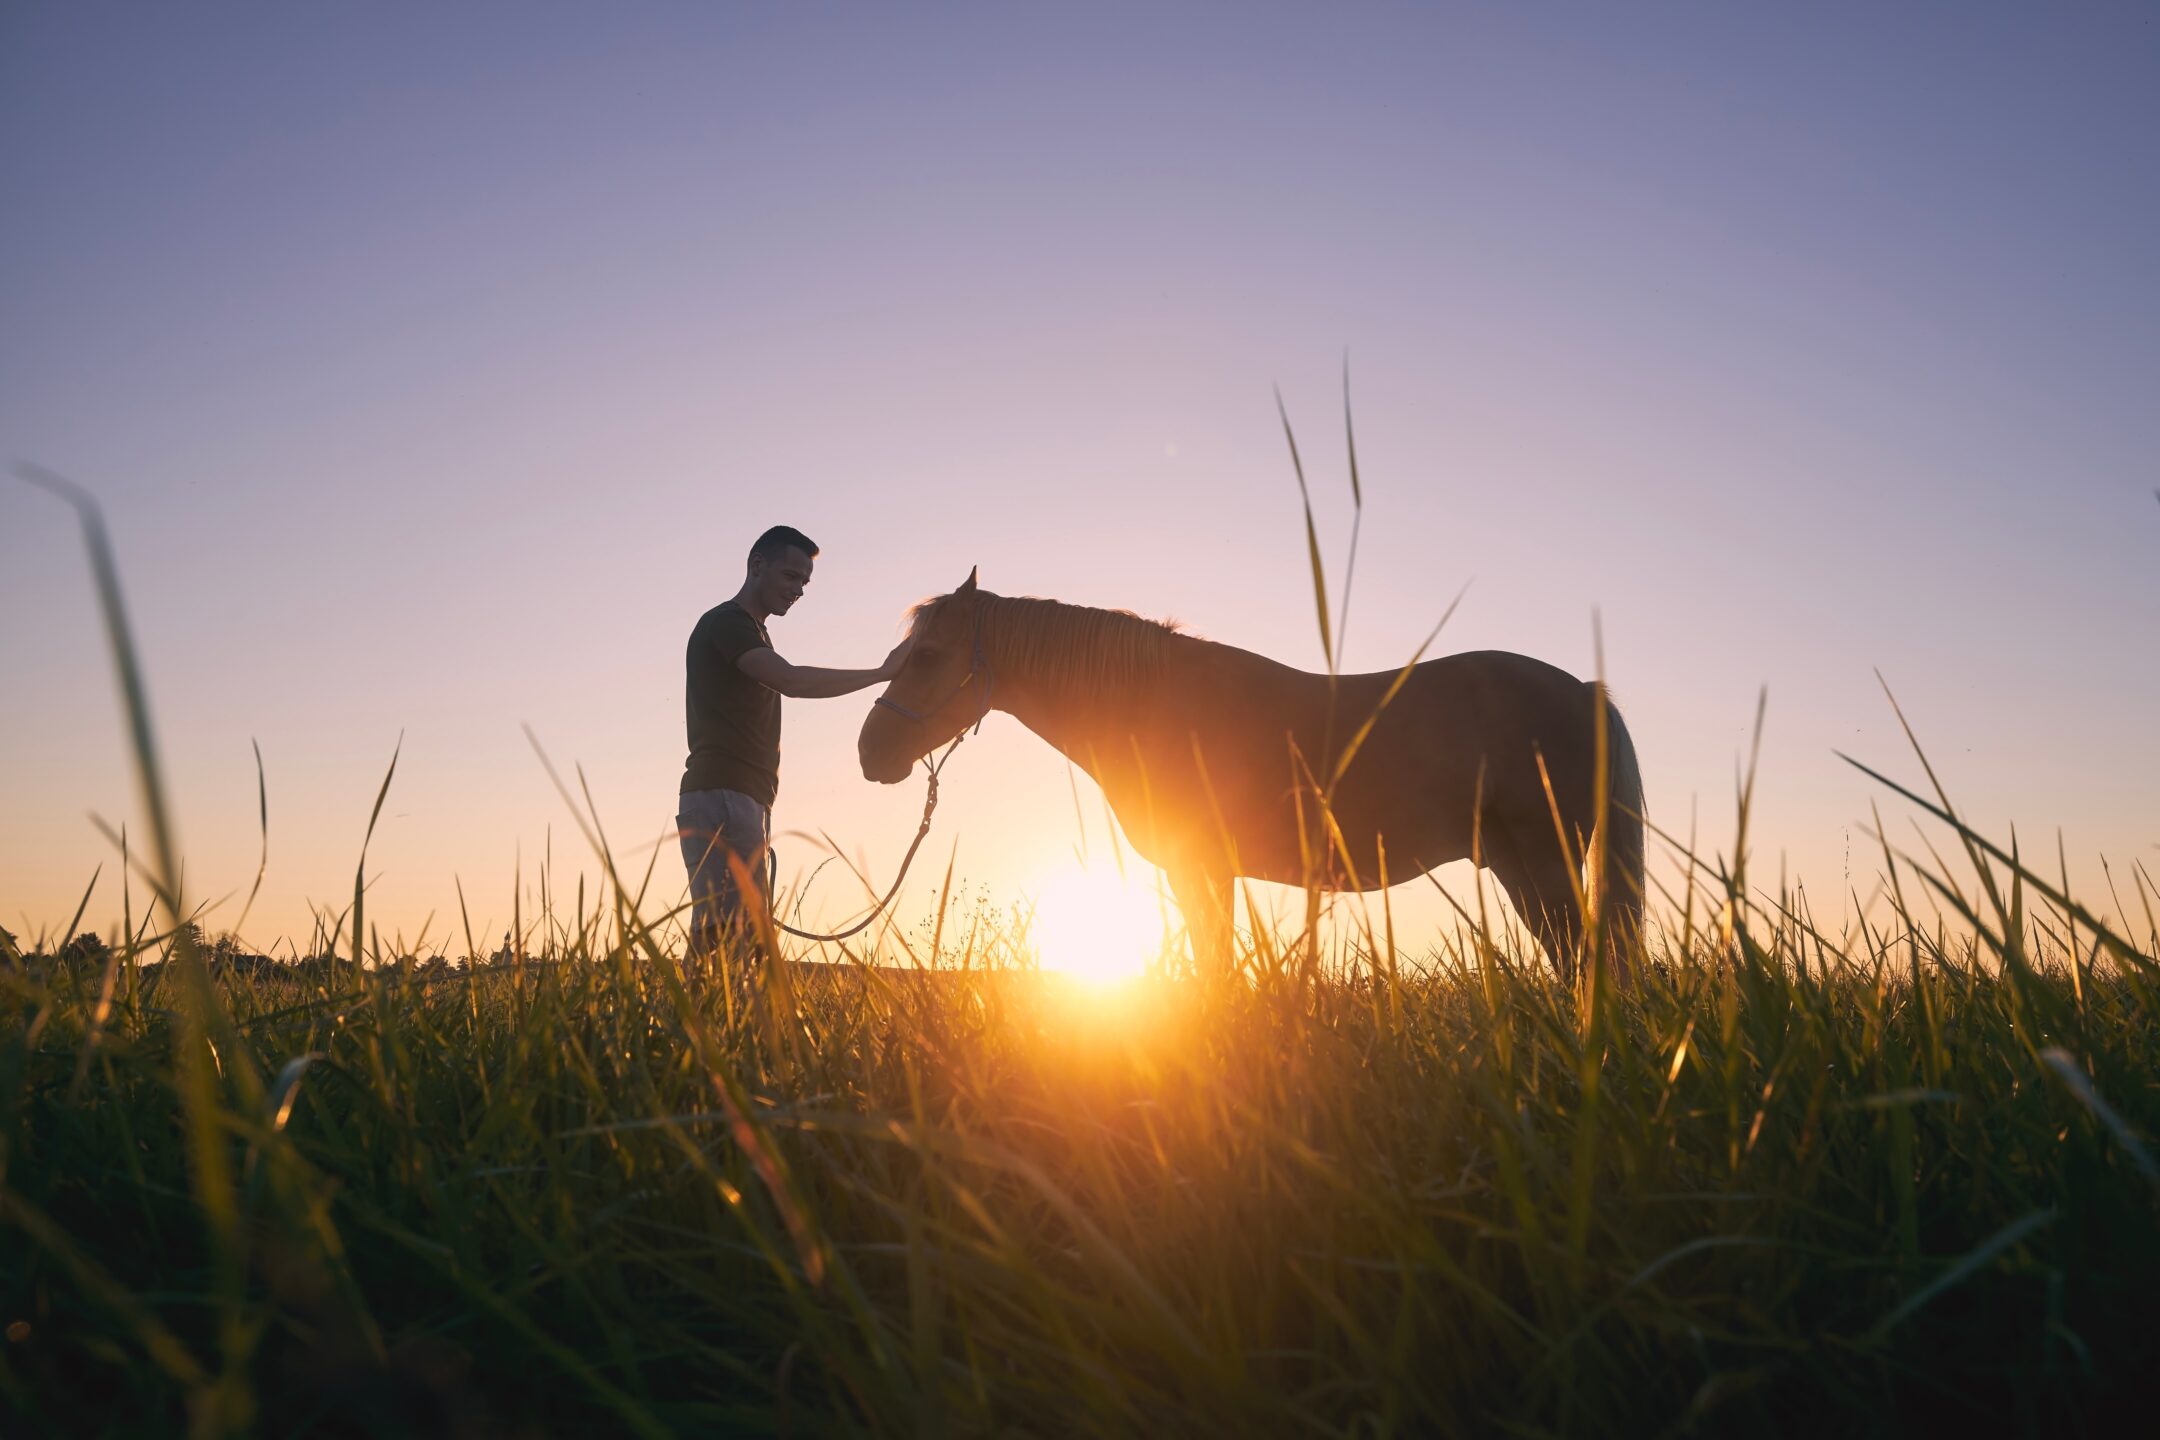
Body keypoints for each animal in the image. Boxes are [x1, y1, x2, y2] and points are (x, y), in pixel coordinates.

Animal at [858, 569, 1645, 982]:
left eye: (926, 656)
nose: (871, 753)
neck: (1150, 705)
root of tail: (1585, 691)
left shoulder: (1202, 869)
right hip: (1518, 865)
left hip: (1545, 861)